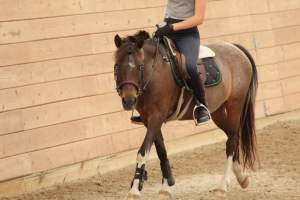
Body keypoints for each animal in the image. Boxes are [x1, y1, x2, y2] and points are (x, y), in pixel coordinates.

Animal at [112, 30, 258, 200]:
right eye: (117, 67)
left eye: (140, 67)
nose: (128, 101)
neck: (154, 72)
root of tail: (235, 48)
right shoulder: (149, 120)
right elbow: (161, 152)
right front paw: (166, 187)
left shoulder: (156, 117)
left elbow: (143, 152)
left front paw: (134, 191)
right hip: (218, 112)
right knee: (230, 137)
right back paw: (242, 177)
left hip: (235, 104)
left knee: (233, 140)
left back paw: (222, 187)